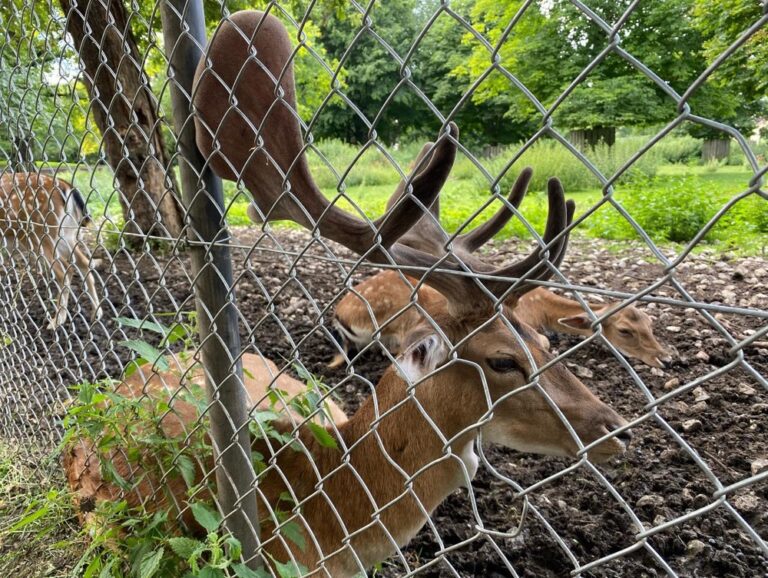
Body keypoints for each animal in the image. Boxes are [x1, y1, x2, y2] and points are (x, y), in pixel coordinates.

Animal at [0, 171, 102, 326]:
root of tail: (66, 185)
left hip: (40, 232)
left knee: (64, 271)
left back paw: (57, 321)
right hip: (65, 234)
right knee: (84, 263)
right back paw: (96, 313)